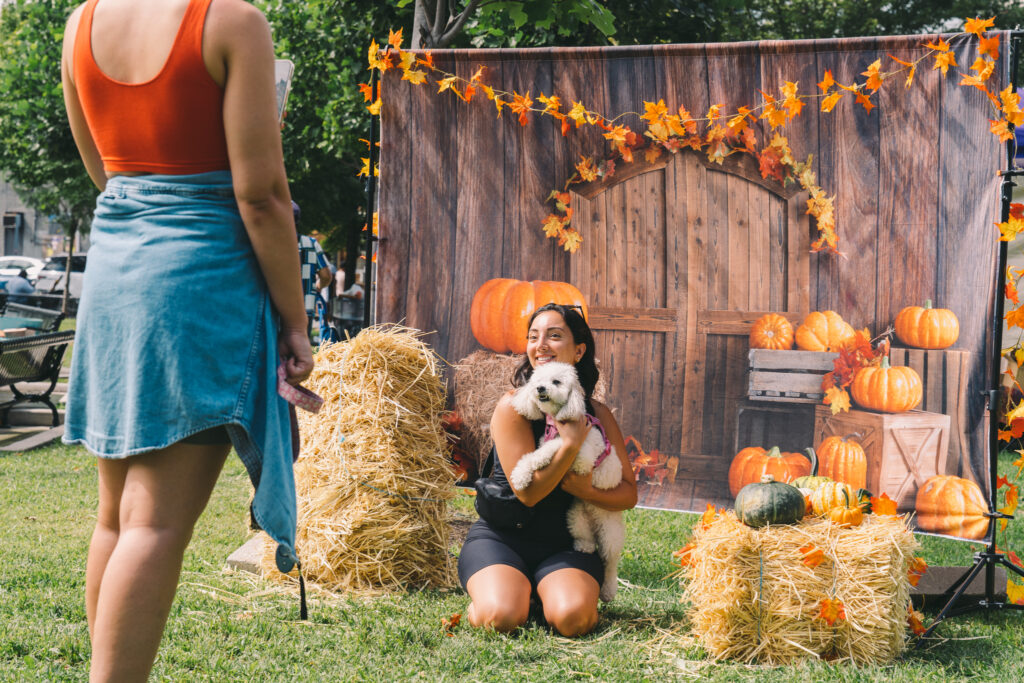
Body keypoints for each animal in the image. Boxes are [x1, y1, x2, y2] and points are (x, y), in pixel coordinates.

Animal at [509, 360, 622, 602]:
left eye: (556, 382)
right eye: (537, 380)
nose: (540, 388)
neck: (559, 422)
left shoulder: (582, 458)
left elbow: (553, 447)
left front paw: (525, 472)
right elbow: (541, 450)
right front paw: (523, 473)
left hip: (611, 533)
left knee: (610, 562)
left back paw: (608, 590)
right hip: (576, 518)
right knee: (586, 539)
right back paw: (584, 547)